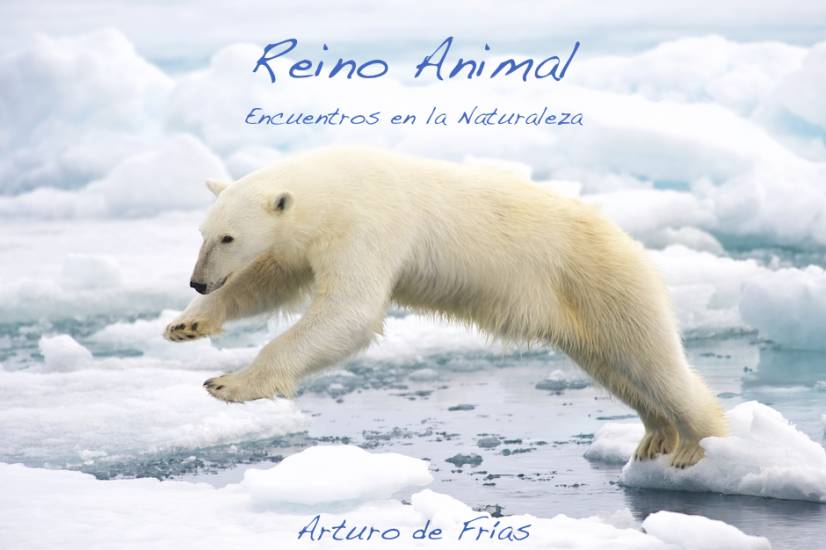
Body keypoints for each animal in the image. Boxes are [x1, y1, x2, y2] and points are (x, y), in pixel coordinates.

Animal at [164, 148, 724, 470]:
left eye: (228, 237)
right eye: (203, 233)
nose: (197, 278)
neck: (335, 185)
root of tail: (627, 241)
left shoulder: (368, 225)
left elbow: (349, 311)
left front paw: (229, 383)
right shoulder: (306, 241)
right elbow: (269, 280)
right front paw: (186, 323)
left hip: (601, 281)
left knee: (652, 360)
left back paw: (697, 444)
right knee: (615, 368)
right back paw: (655, 436)